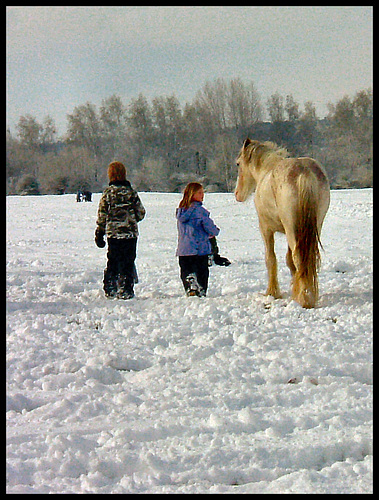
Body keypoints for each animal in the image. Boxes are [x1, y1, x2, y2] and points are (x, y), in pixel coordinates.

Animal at [236, 139, 332, 306]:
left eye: (238, 164)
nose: (237, 194)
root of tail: (304, 173)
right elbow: (289, 260)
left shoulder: (266, 229)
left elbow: (271, 259)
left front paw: (272, 292)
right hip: (311, 227)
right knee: (308, 257)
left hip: (292, 229)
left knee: (299, 257)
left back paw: (305, 298)